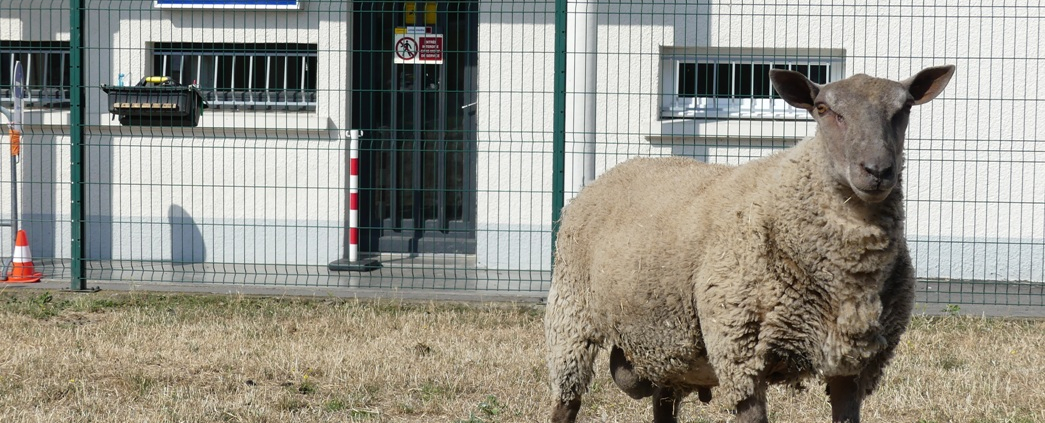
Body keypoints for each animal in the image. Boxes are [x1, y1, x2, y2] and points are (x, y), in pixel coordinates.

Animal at [547, 63, 957, 421]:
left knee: (662, 401)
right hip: (572, 316)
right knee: (567, 397)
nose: (877, 171)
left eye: (904, 108)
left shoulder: (852, 363)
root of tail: (619, 168)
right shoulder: (740, 353)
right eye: (823, 109)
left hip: (668, 343)